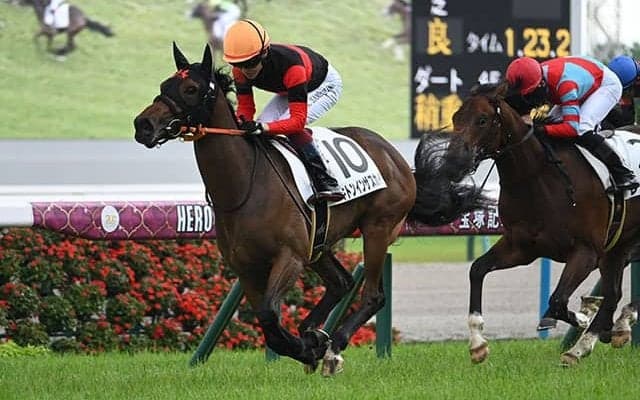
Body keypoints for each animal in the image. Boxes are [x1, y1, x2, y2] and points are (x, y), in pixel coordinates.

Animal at [133, 43, 416, 375]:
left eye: (190, 89)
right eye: (164, 85)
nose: (143, 125)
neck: (244, 185)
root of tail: (394, 155)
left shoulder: (289, 257)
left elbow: (270, 315)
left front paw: (308, 348)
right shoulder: (245, 268)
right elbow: (268, 325)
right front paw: (308, 346)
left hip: (377, 228)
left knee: (373, 295)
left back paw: (333, 347)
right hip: (318, 243)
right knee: (341, 282)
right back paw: (314, 332)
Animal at [411, 82, 640, 366]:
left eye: (482, 119)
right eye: (454, 118)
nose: (454, 162)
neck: (538, 179)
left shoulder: (586, 251)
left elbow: (558, 300)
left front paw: (583, 317)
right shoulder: (521, 247)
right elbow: (477, 269)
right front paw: (477, 344)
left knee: (611, 295)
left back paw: (594, 337)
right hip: (618, 245)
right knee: (613, 294)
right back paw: (595, 338)